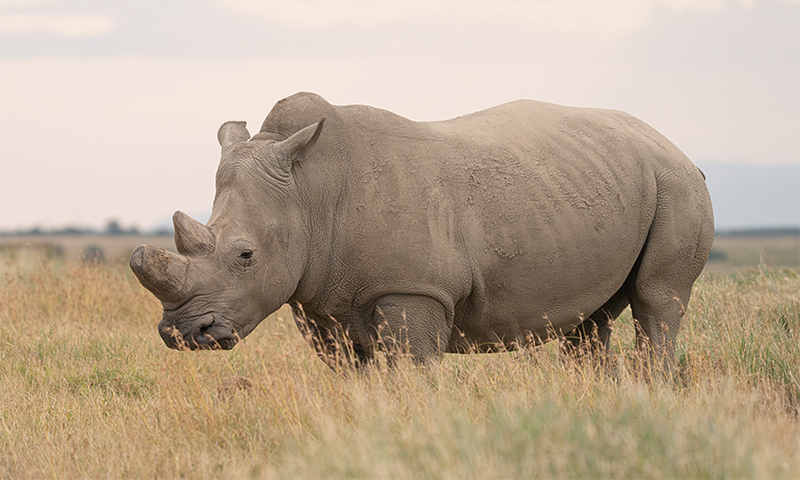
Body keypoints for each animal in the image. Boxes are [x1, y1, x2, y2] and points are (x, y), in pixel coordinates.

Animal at [130, 92, 714, 370]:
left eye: (246, 255)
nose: (183, 334)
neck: (308, 192)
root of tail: (671, 144)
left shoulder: (415, 289)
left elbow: (408, 373)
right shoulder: (319, 297)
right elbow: (352, 378)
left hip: (676, 183)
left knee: (657, 301)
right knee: (590, 319)